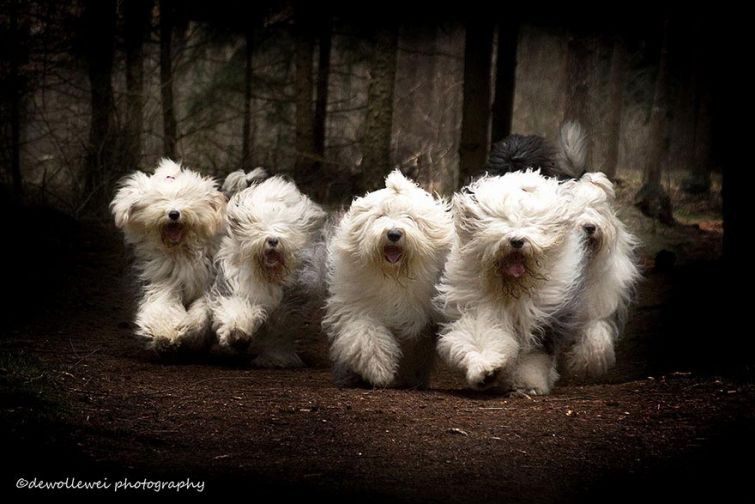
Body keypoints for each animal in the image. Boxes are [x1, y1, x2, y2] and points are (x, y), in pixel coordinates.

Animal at [110, 159, 226, 352]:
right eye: (159, 200)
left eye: (185, 198)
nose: (173, 214)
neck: (181, 252)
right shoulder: (164, 280)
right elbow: (164, 305)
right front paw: (166, 333)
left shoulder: (209, 282)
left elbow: (202, 309)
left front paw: (193, 329)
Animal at [210, 176, 324, 366]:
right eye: (258, 226)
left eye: (286, 228)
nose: (272, 240)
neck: (266, 273)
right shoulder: (236, 287)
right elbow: (236, 308)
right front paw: (237, 334)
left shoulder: (286, 307)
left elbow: (278, 332)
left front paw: (275, 358)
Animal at [322, 171, 452, 388]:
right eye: (380, 216)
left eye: (410, 217)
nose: (393, 234)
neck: (394, 275)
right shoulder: (359, 306)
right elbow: (367, 334)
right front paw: (379, 371)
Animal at [432, 171, 584, 396]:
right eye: (501, 220)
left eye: (530, 221)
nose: (517, 241)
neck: (511, 289)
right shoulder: (478, 306)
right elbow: (480, 333)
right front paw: (485, 369)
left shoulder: (542, 318)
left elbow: (533, 356)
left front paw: (528, 384)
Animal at [560, 170, 636, 378]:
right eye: (574, 211)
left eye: (597, 210)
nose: (590, 227)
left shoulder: (595, 304)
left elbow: (596, 333)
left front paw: (586, 363)